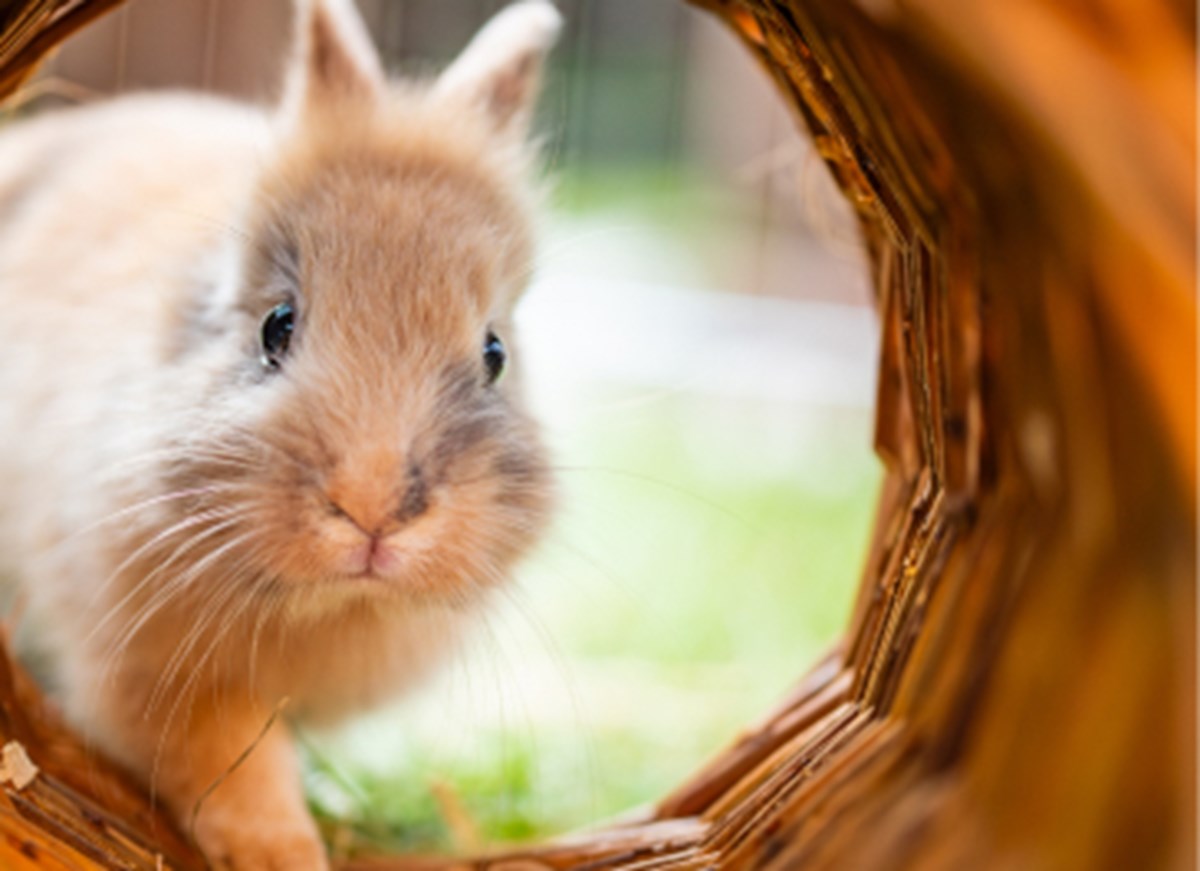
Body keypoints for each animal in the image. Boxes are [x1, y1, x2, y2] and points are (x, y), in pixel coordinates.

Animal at [0, 0, 561, 867]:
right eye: (277, 325)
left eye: (495, 353)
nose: (372, 510)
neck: (324, 603)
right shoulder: (157, 669)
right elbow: (230, 756)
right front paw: (282, 850)